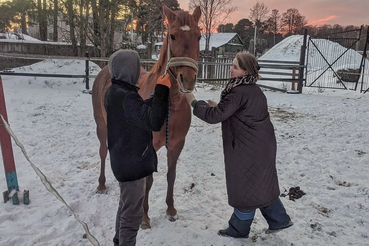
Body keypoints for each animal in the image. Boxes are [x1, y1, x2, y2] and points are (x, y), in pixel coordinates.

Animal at [92, 4, 201, 229]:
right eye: (173, 35)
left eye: (199, 36)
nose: (187, 80)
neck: (169, 103)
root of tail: (105, 69)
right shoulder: (149, 146)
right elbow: (148, 181)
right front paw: (144, 217)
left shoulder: (177, 144)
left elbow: (171, 175)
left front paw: (171, 210)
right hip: (101, 126)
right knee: (103, 152)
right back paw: (101, 185)